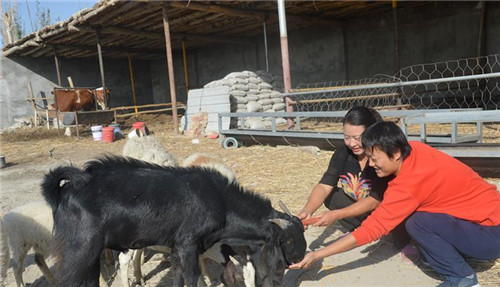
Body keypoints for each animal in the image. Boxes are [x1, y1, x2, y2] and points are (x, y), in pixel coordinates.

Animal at [43, 158, 306, 287]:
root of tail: (62, 190)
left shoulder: (177, 249)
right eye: (287, 239)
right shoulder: (188, 244)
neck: (219, 201)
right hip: (80, 249)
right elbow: (191, 278)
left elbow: (179, 277)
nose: (300, 258)